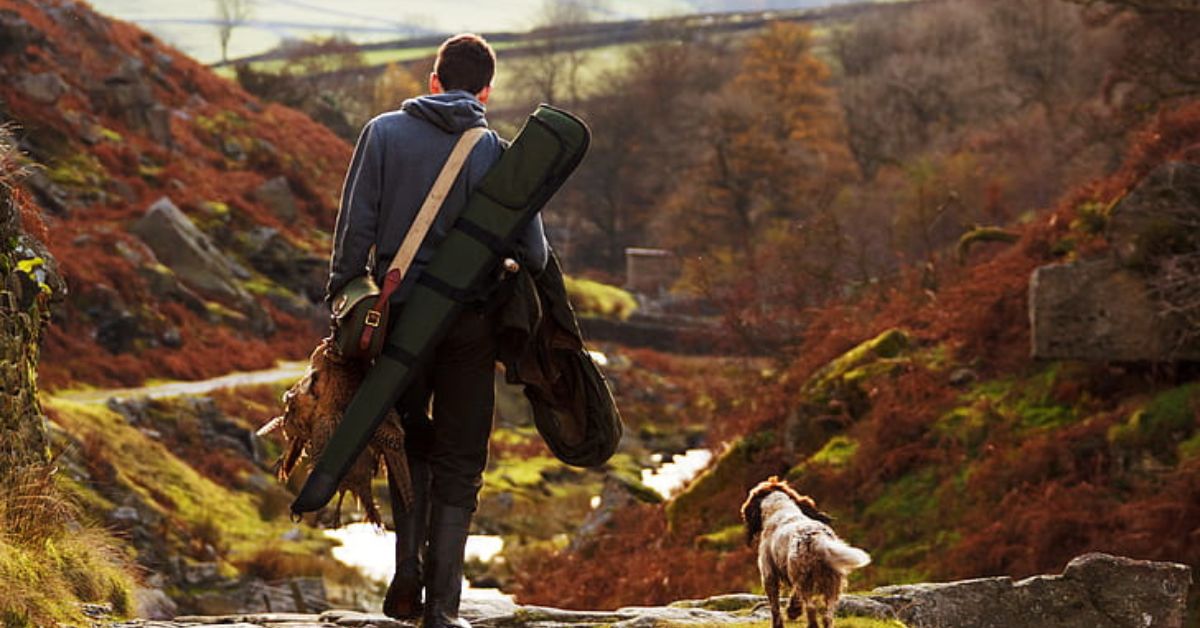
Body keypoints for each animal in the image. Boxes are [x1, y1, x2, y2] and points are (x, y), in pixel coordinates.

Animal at [739, 477, 873, 628]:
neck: (780, 509)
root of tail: (817, 538)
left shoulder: (769, 575)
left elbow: (775, 607)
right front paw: (793, 611)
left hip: (805, 580)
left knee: (811, 609)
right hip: (831, 584)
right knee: (827, 616)